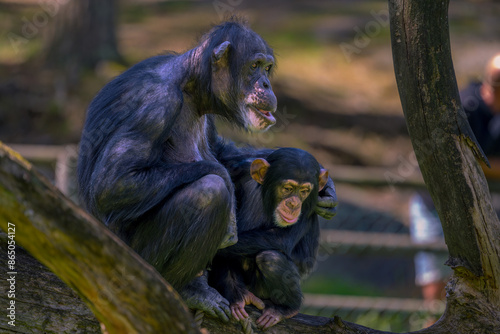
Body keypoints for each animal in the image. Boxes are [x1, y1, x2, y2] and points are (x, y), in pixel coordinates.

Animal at [209, 147, 330, 328]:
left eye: (304, 192)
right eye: (287, 188)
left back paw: (286, 308)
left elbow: (281, 239)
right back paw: (238, 295)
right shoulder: (237, 171)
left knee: (270, 259)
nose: (294, 204)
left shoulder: (310, 204)